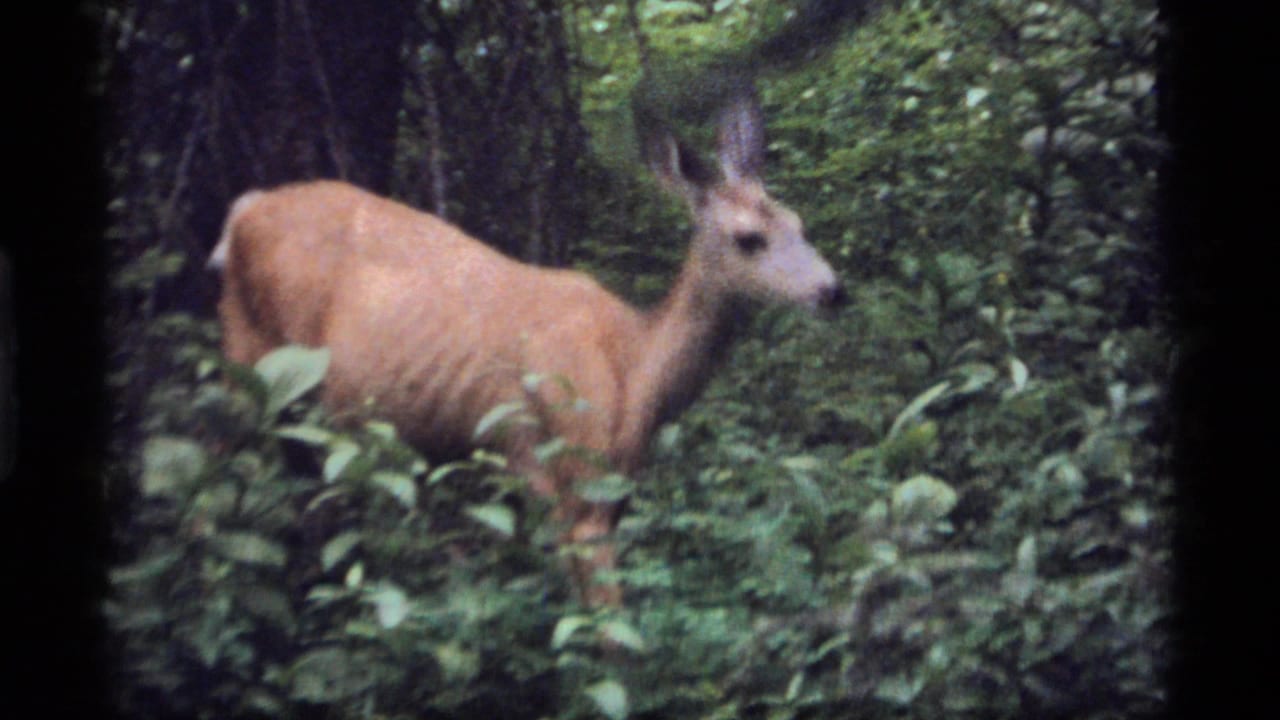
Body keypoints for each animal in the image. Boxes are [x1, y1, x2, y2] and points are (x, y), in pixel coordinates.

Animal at [207, 97, 845, 606]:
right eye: (749, 239)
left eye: (799, 222)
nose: (834, 291)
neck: (635, 369)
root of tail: (242, 210)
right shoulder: (567, 474)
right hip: (247, 361)